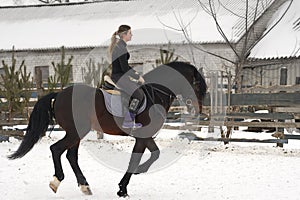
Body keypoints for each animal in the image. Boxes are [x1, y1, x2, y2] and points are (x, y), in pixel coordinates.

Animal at [8, 61, 207, 198]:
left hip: (76, 133)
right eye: (197, 84)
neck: (156, 94)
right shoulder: (142, 137)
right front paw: (124, 187)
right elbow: (138, 159)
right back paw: (56, 182)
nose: (197, 110)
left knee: (71, 156)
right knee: (56, 149)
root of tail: (59, 94)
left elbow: (153, 154)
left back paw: (85, 186)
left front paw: (133, 177)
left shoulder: (145, 137)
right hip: (76, 132)